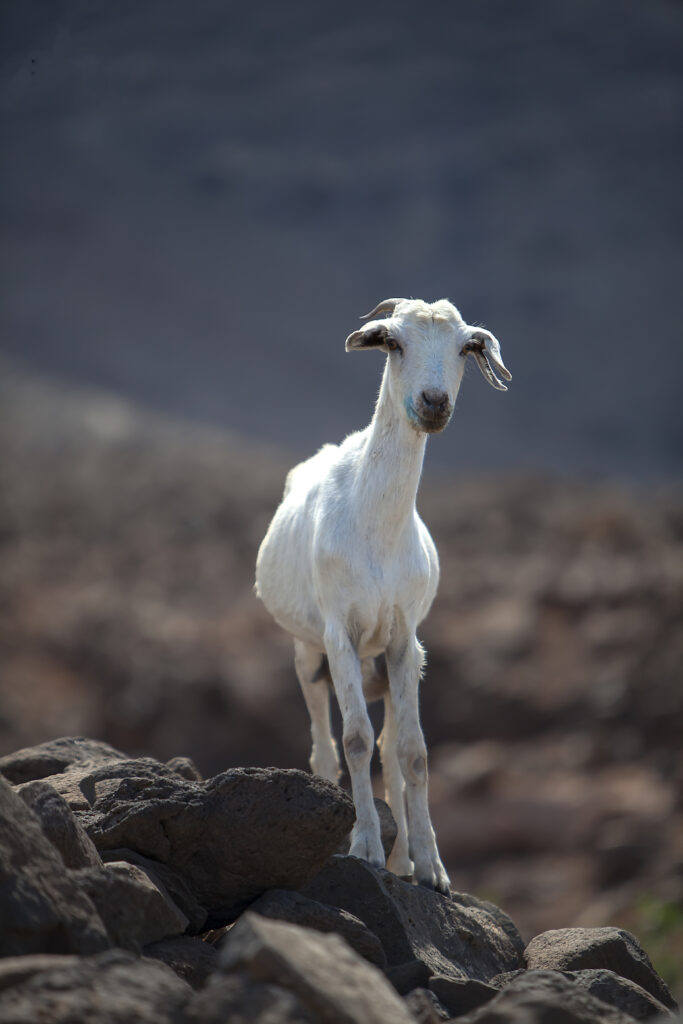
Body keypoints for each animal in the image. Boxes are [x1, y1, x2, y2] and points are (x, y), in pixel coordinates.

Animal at [255, 297, 511, 893]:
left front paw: (432, 869)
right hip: (307, 654)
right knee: (325, 751)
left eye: (467, 347)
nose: (434, 403)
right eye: (392, 341)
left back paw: (405, 863)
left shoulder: (404, 638)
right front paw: (365, 848)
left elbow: (412, 753)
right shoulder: (339, 634)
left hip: (392, 663)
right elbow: (352, 739)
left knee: (390, 751)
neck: (375, 525)